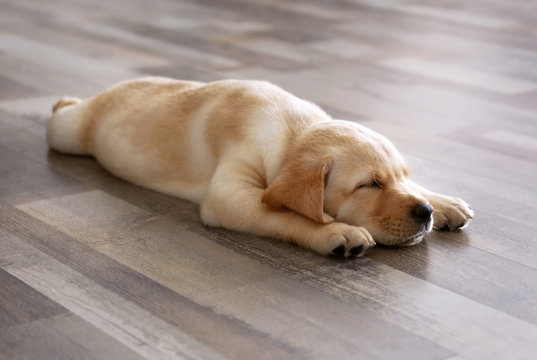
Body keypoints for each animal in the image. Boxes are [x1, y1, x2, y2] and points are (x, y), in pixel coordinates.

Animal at [47, 77, 474, 258]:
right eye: (369, 185)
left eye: (401, 175)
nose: (425, 213)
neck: (294, 132)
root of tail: (111, 88)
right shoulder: (229, 194)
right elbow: (288, 216)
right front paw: (335, 232)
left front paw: (444, 201)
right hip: (68, 135)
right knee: (61, 117)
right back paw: (62, 100)